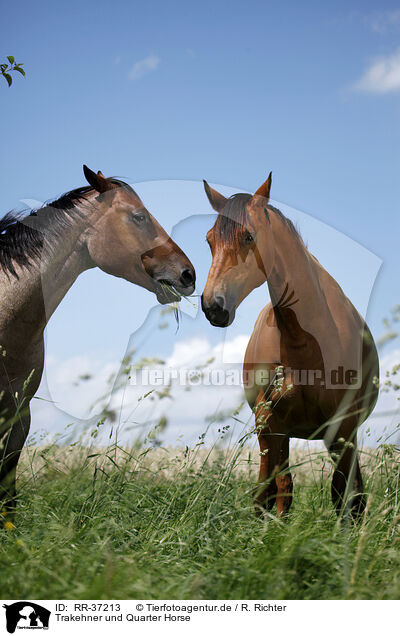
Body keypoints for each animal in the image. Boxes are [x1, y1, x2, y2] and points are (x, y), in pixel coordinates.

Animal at [202, 174, 380, 516]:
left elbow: (343, 493)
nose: (213, 306)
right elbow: (281, 490)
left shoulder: (342, 428)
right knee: (268, 488)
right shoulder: (272, 423)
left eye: (249, 236)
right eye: (209, 240)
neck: (305, 342)